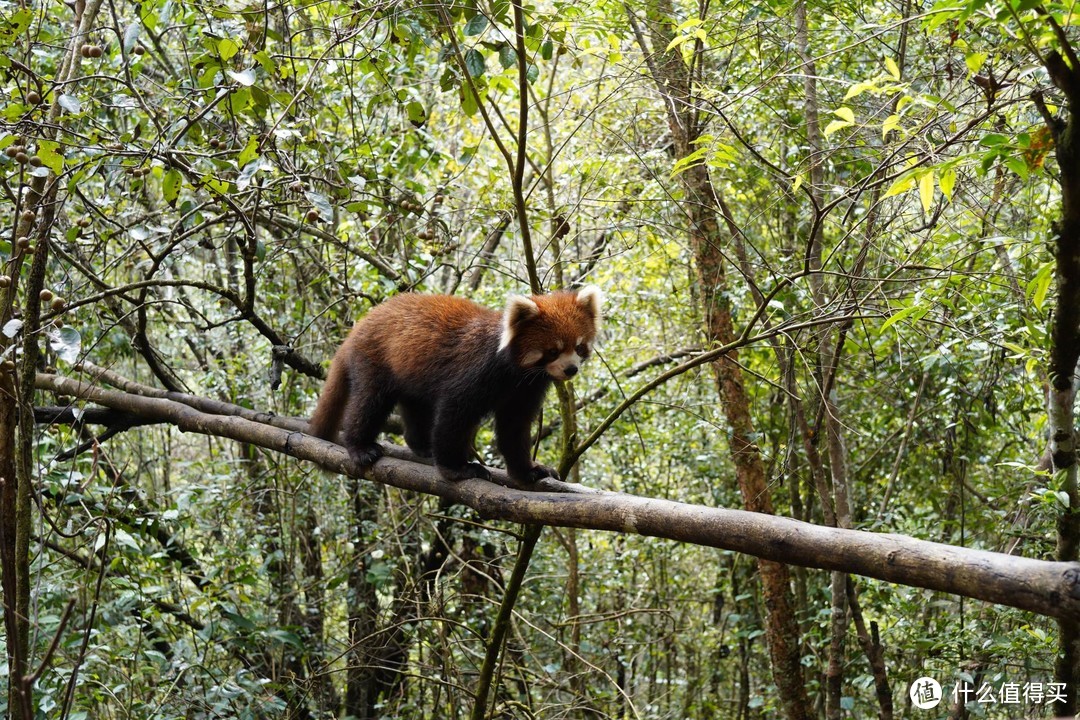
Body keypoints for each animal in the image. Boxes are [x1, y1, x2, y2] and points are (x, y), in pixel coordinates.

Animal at [308, 287, 604, 483]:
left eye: (579, 346)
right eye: (553, 351)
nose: (571, 369)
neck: (515, 373)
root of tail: (360, 326)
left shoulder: (526, 390)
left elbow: (514, 428)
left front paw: (527, 471)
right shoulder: (474, 372)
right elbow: (454, 417)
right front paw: (457, 468)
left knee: (416, 407)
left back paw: (421, 445)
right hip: (374, 359)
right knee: (370, 402)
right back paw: (360, 447)